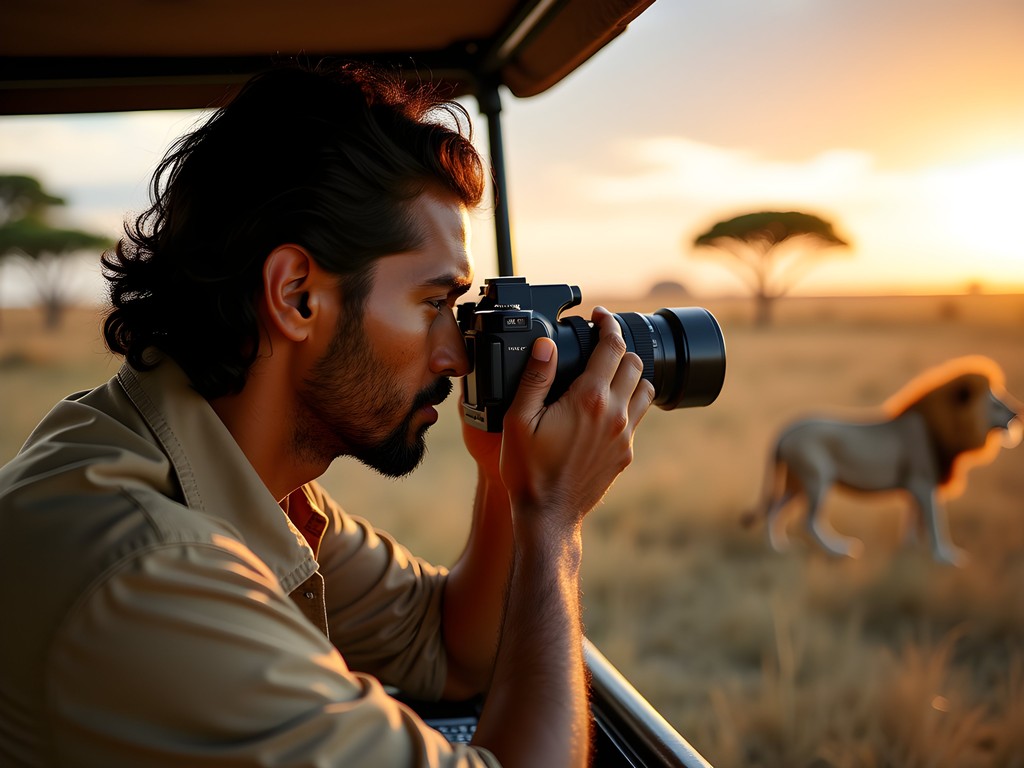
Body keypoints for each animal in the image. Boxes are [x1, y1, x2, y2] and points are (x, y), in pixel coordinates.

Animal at [755, 356, 1021, 565]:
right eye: (995, 403)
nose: (1016, 413)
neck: (943, 430)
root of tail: (786, 429)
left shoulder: (918, 484)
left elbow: (915, 517)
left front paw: (911, 549)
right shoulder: (922, 482)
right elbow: (935, 521)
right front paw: (946, 557)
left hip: (796, 482)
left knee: (774, 511)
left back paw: (777, 549)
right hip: (816, 478)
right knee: (808, 522)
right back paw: (839, 551)